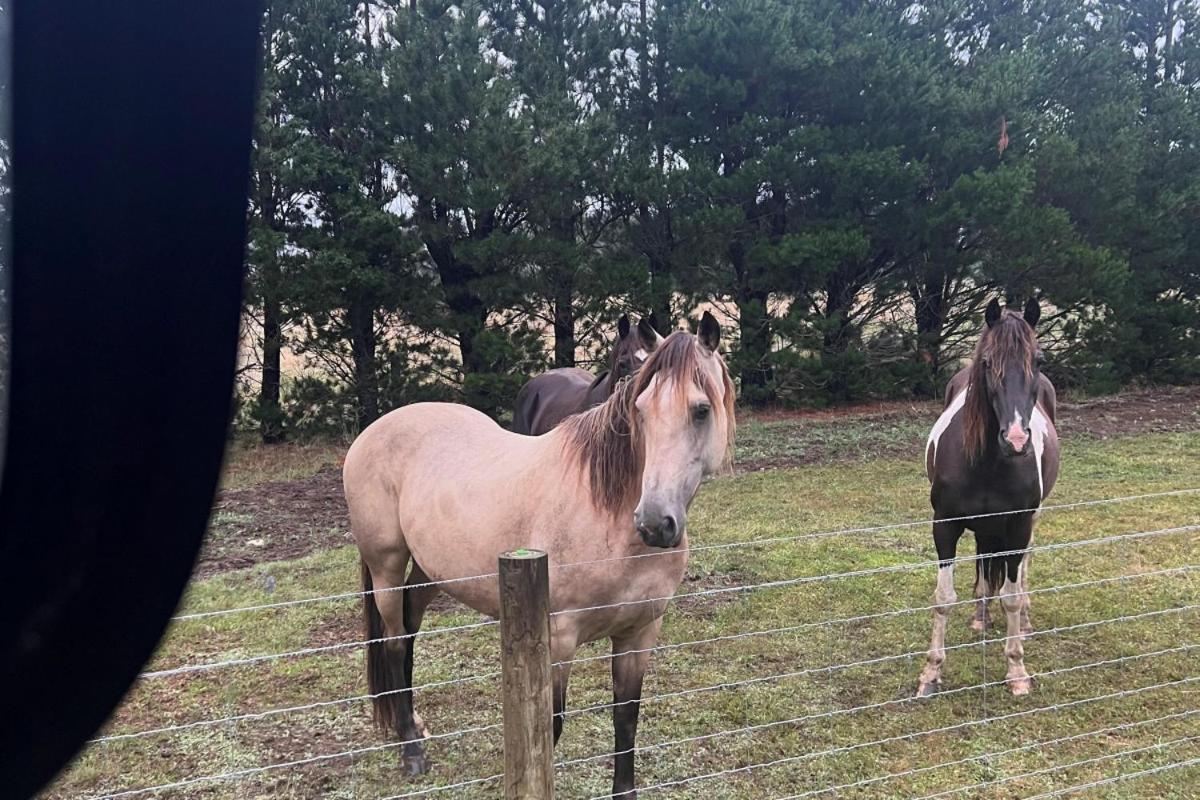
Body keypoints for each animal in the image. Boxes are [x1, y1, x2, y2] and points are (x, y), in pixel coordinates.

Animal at [348, 311, 734, 796]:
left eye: (701, 410)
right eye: (641, 408)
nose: (653, 523)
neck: (605, 510)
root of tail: (375, 429)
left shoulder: (640, 632)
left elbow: (626, 719)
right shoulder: (558, 638)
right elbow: (549, 728)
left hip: (429, 570)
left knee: (410, 630)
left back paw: (415, 726)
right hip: (385, 564)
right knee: (394, 641)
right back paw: (411, 750)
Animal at [916, 297, 1060, 695]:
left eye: (1038, 360)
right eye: (987, 362)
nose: (1017, 440)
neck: (986, 462)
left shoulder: (1018, 525)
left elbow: (1010, 595)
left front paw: (1017, 670)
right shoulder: (944, 526)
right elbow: (943, 599)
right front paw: (930, 674)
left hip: (1030, 522)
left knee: (1023, 570)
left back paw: (1023, 621)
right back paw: (981, 614)